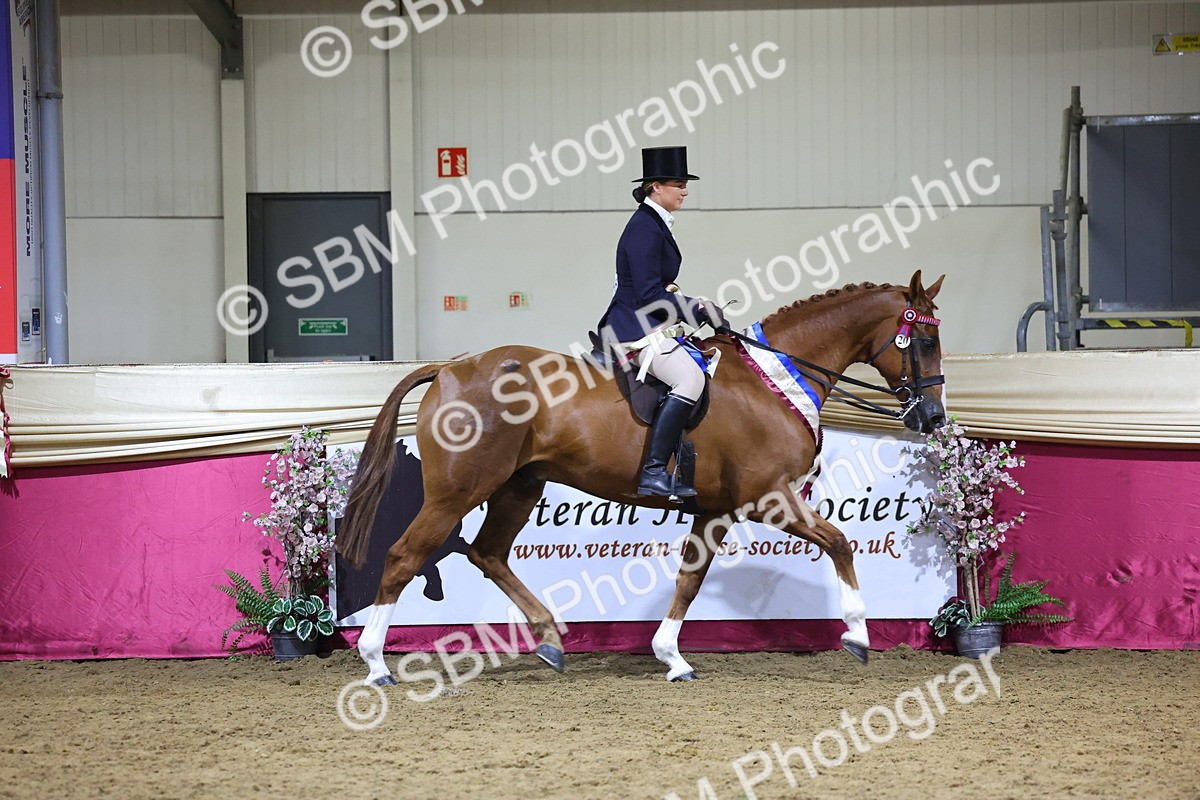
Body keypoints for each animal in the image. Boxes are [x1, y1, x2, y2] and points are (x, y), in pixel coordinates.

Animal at [337, 270, 946, 685]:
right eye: (924, 341)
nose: (934, 419)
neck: (775, 378)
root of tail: (450, 368)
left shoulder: (715, 510)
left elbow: (689, 580)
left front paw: (671, 656)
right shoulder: (770, 498)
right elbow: (840, 543)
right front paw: (857, 634)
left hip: (519, 486)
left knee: (488, 554)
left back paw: (551, 641)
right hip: (458, 492)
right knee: (404, 556)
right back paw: (375, 663)